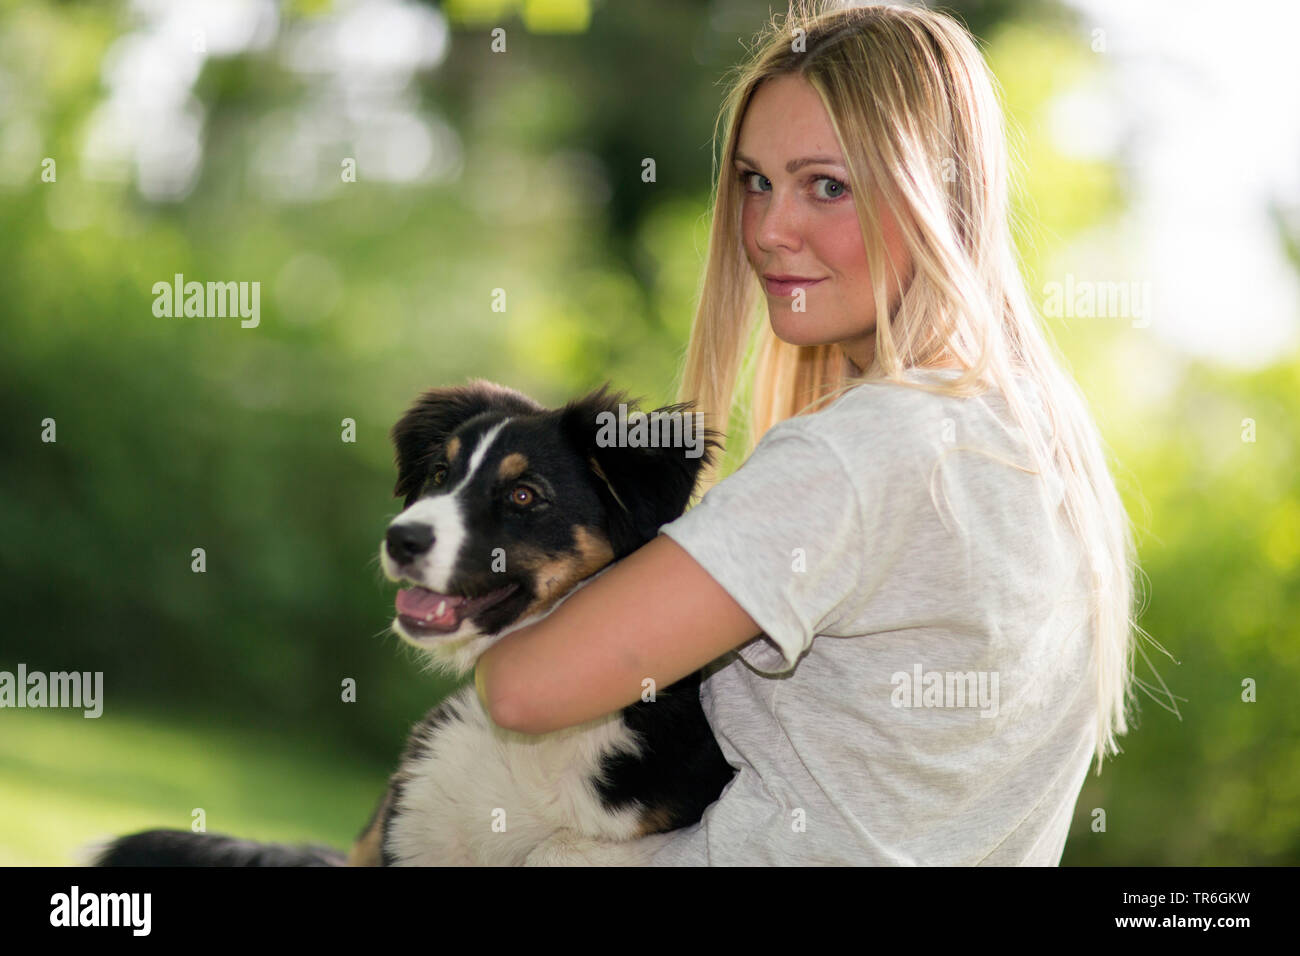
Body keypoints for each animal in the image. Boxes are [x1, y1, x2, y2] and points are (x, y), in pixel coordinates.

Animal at [94, 379, 733, 868]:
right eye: (440, 474)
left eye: (524, 495)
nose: (399, 538)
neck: (535, 744)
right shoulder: (405, 822)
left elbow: (563, 850)